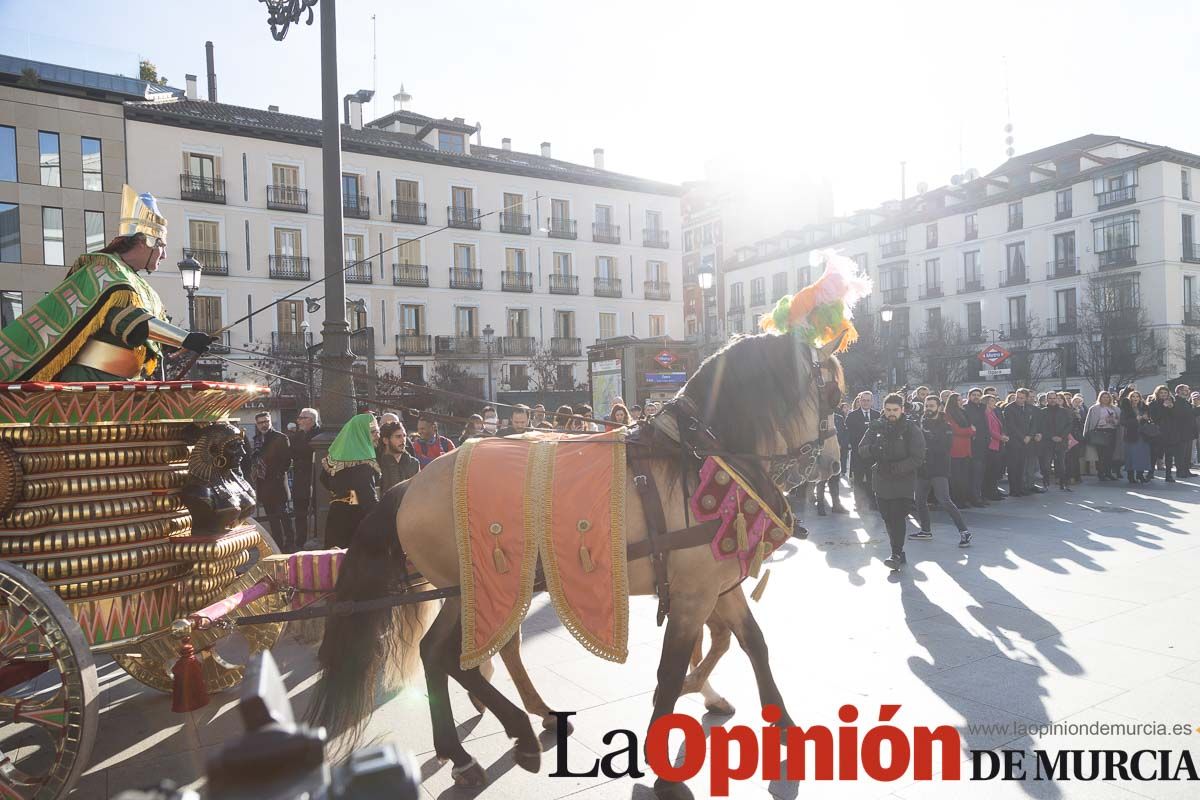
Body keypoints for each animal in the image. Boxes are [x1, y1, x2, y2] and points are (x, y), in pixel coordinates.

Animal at [309, 328, 844, 796]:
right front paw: (665, 766)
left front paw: (783, 727)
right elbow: (672, 672)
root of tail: (407, 485)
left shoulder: (719, 587)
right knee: (447, 656)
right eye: (833, 394)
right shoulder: (694, 594)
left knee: (441, 653)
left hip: (480, 591)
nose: (833, 464)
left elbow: (755, 645)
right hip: (474, 587)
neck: (701, 456)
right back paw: (514, 733)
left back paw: (473, 746)